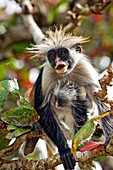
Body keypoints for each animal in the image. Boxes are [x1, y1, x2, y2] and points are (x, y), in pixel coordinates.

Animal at [29, 27, 113, 169]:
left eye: (63, 52)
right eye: (51, 55)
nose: (57, 61)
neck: (65, 74)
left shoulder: (84, 69)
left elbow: (100, 100)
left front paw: (109, 137)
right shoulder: (46, 73)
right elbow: (42, 108)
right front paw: (65, 151)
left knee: (79, 102)